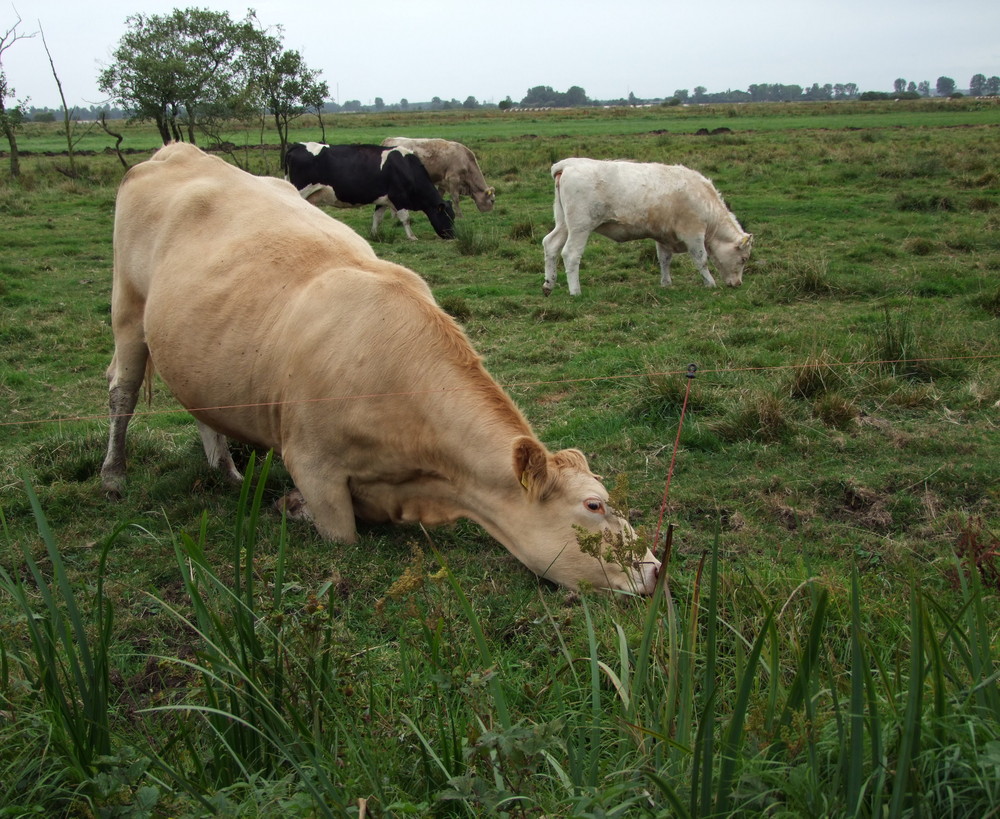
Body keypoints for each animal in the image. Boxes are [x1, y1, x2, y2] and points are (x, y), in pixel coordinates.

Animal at [280, 142, 456, 240]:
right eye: (447, 216)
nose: (453, 236)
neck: (406, 167)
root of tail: (297, 145)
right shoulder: (398, 197)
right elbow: (405, 218)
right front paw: (412, 237)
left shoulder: (384, 199)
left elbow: (377, 217)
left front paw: (374, 235)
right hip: (301, 190)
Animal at [544, 159, 752, 296]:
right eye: (743, 259)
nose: (738, 283)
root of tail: (567, 164)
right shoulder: (693, 233)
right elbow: (701, 259)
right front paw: (710, 283)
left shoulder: (663, 236)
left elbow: (664, 259)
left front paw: (666, 283)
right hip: (580, 227)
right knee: (570, 254)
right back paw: (575, 291)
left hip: (563, 224)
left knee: (550, 245)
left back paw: (549, 285)